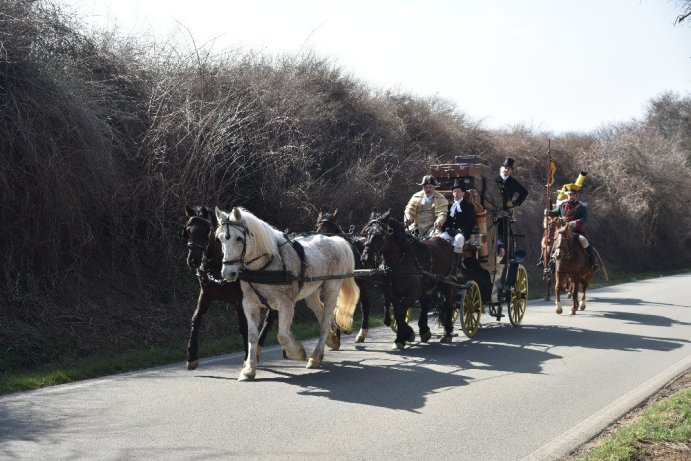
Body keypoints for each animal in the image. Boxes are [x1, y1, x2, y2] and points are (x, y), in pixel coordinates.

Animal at [185, 204, 280, 366]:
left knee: (270, 317)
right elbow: (195, 319)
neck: (216, 265)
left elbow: (243, 327)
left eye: (206, 231)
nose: (192, 260)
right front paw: (192, 357)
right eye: (187, 230)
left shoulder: (239, 300)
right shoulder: (206, 294)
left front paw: (247, 357)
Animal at [214, 207, 360, 380]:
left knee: (325, 320)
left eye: (239, 238)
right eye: (220, 239)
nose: (227, 273)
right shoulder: (249, 305)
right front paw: (249, 369)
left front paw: (297, 352)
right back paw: (328, 343)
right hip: (311, 293)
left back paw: (315, 357)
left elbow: (282, 336)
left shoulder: (286, 305)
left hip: (331, 289)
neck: (265, 266)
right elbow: (252, 336)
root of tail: (337, 241)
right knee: (321, 312)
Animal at [360, 210, 456, 346]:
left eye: (380, 234)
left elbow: (400, 311)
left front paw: (403, 336)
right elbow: (398, 312)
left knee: (448, 304)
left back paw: (447, 333)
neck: (400, 260)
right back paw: (424, 330)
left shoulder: (413, 292)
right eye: (366, 232)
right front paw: (406, 334)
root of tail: (445, 242)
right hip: (425, 286)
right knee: (426, 303)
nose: (365, 258)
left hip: (446, 283)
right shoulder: (391, 293)